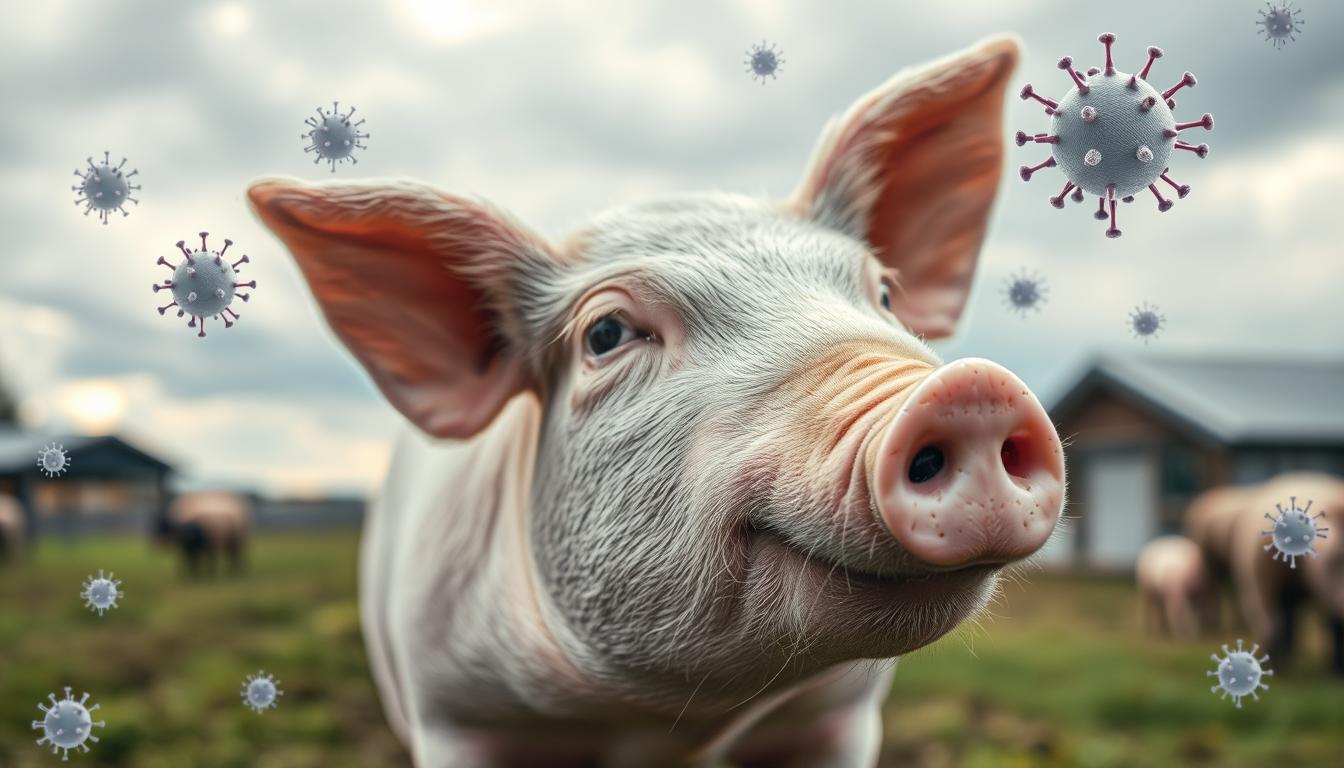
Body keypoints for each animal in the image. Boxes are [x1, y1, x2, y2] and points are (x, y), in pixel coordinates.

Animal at [248, 35, 1066, 767]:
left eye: (886, 293)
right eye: (606, 333)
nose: (972, 388)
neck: (665, 725)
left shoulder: (838, 720)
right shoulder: (456, 717)